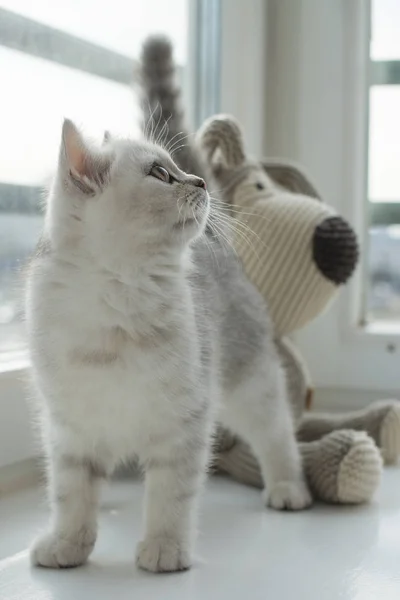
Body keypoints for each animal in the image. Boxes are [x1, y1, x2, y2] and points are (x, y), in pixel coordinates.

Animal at [26, 119, 310, 576]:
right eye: (160, 173)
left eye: (176, 168)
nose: (199, 182)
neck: (117, 300)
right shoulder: (70, 429)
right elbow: (71, 493)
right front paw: (67, 543)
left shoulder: (183, 422)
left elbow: (170, 495)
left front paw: (164, 548)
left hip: (252, 385)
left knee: (277, 434)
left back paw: (288, 487)